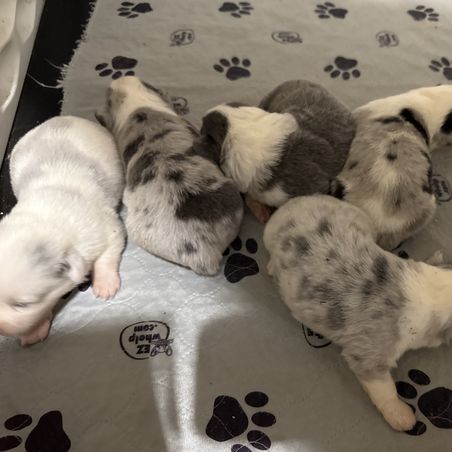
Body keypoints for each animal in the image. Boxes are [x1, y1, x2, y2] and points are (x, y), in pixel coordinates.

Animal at [0, 116, 126, 346]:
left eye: (23, 304)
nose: (1, 330)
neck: (44, 219)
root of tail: (68, 117)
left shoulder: (107, 226)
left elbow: (110, 252)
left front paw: (105, 284)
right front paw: (34, 330)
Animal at [264, 194, 452, 432]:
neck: (428, 291)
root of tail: (296, 202)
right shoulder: (368, 357)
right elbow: (385, 391)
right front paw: (402, 416)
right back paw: (270, 267)